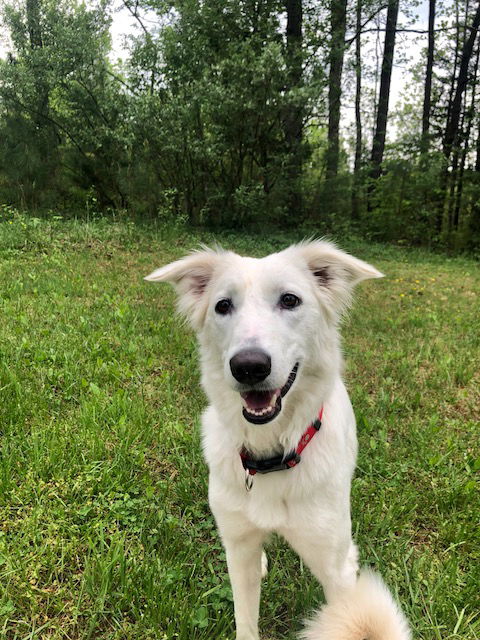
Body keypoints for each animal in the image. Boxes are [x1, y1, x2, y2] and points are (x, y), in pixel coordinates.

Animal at [144, 241, 410, 640]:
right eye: (223, 305)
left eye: (289, 300)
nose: (249, 367)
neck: (272, 454)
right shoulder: (239, 548)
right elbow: (245, 617)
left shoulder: (336, 570)